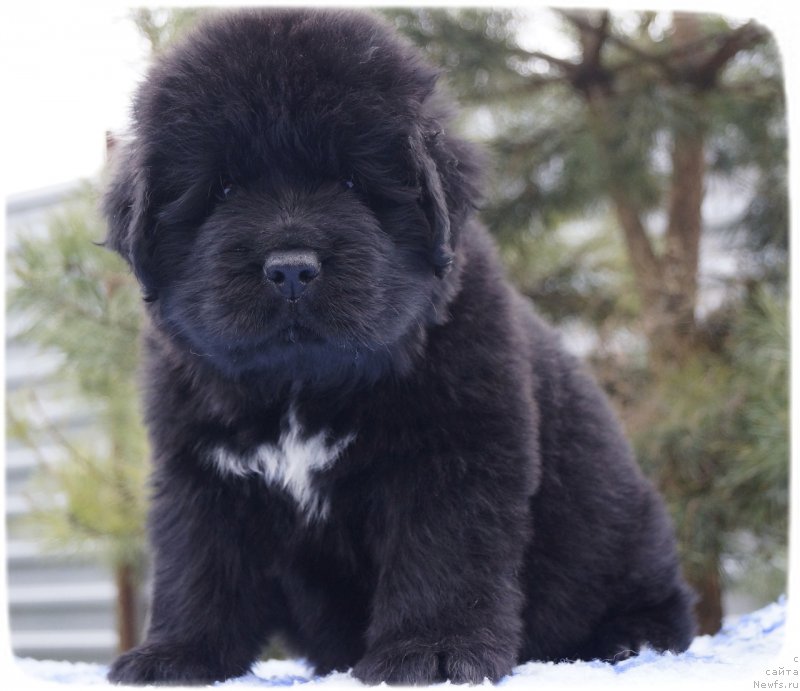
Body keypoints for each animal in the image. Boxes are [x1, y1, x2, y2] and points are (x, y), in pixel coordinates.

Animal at [104, 6, 692, 688]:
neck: (301, 385)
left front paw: (431, 652)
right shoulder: (201, 471)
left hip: (627, 539)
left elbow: (441, 558)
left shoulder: (453, 455)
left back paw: (628, 641)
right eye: (223, 190)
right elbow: (198, 565)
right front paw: (178, 654)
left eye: (352, 182)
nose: (291, 268)